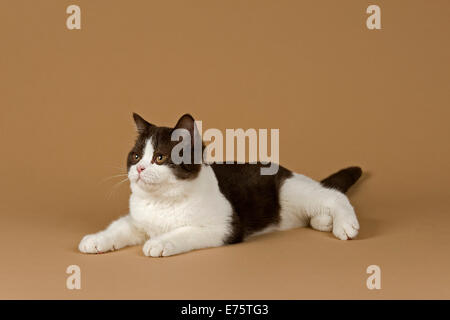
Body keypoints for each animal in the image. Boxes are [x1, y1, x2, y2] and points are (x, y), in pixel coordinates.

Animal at [78, 114, 362, 256]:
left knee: (332, 196)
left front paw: (159, 243)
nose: (139, 169)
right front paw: (96, 240)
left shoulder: (225, 226)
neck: (163, 201)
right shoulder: (138, 220)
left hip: (292, 191)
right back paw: (323, 221)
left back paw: (344, 225)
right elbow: (119, 227)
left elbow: (184, 232)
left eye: (159, 157)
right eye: (136, 156)